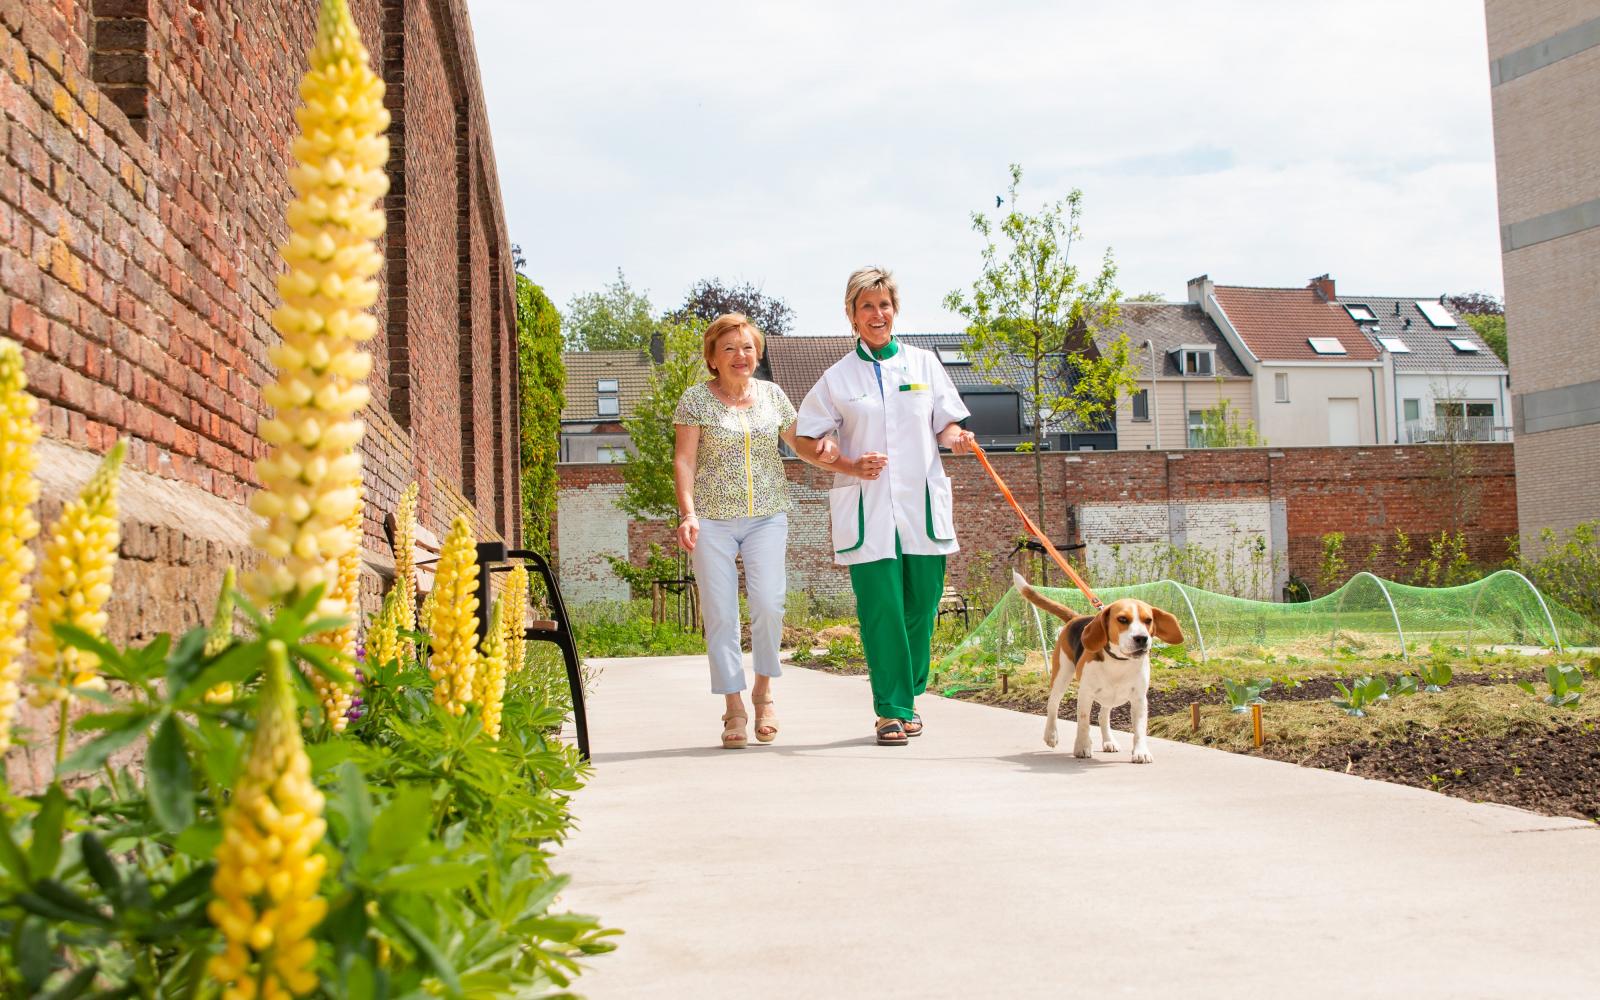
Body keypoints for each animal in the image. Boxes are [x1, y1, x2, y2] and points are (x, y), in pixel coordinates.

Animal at [1011, 572, 1190, 761]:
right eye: (1122, 619)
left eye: (1148, 620)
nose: (1142, 638)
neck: (1118, 662)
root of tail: (1076, 618)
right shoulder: (1085, 694)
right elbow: (1083, 723)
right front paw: (1082, 746)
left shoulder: (1140, 699)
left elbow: (1140, 729)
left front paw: (1141, 752)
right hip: (1061, 676)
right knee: (1053, 706)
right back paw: (1051, 735)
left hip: (1109, 697)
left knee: (1102, 716)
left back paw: (1109, 741)